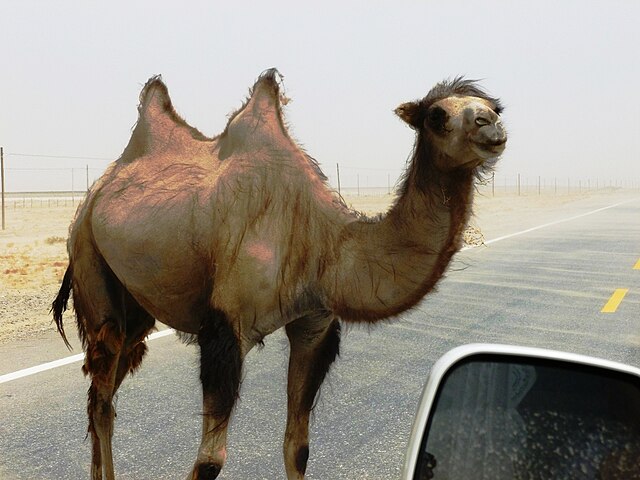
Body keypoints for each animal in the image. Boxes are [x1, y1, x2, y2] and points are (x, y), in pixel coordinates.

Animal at [51, 68, 504, 480]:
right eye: (437, 116)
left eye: (495, 107)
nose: (491, 126)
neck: (324, 240)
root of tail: (96, 192)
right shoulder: (226, 328)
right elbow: (209, 461)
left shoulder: (313, 324)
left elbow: (298, 448)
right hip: (90, 258)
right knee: (101, 395)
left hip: (137, 305)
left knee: (105, 393)